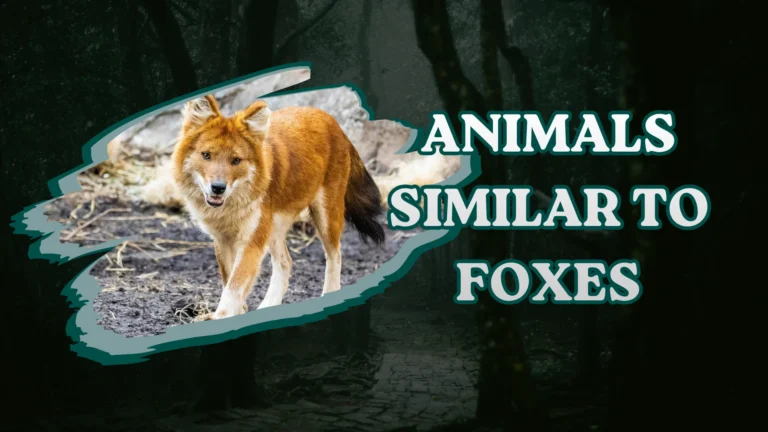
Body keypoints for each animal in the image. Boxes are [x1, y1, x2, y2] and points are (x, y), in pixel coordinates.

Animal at [171, 95, 385, 321]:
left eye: (236, 160)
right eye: (206, 155)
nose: (218, 188)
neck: (229, 210)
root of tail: (331, 119)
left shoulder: (251, 242)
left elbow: (234, 287)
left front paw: (222, 317)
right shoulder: (222, 239)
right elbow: (228, 279)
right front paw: (239, 312)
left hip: (325, 217)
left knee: (335, 256)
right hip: (274, 228)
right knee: (286, 262)